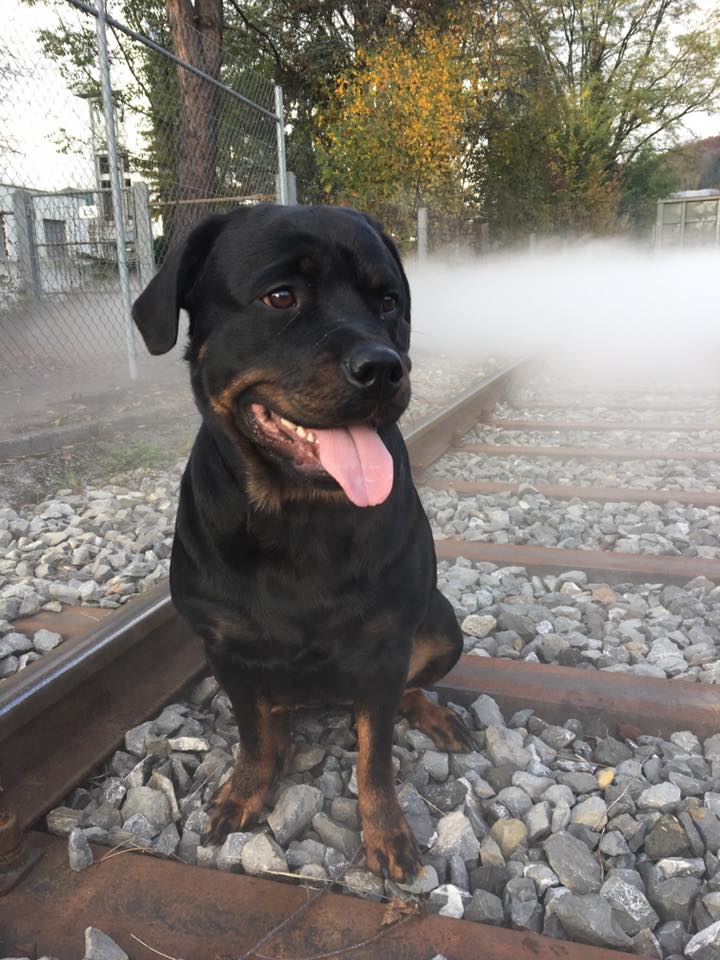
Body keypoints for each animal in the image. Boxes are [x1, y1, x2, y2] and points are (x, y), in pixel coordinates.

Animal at [132, 206, 470, 880]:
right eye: (281, 296)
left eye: (388, 302)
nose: (383, 367)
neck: (300, 517)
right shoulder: (227, 648)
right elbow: (251, 735)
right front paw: (245, 789)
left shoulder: (385, 647)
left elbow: (375, 756)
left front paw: (386, 829)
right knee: (271, 714)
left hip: (443, 625)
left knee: (406, 692)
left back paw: (433, 714)